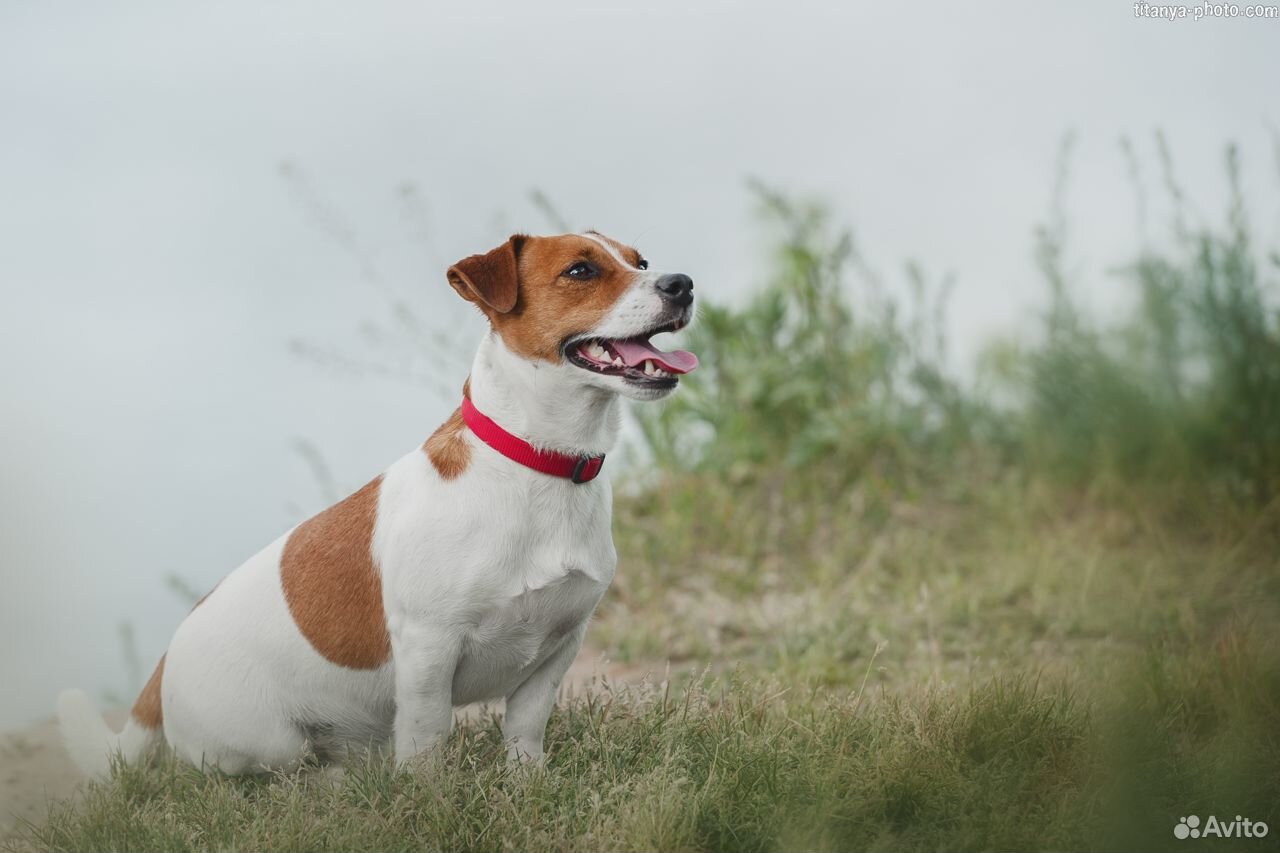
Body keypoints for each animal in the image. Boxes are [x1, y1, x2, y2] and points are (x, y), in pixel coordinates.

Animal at [57, 229, 701, 773]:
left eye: (640, 260)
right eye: (580, 270)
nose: (682, 283)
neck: (537, 461)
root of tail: (166, 660)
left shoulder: (558, 651)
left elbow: (525, 732)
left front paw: (527, 787)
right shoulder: (428, 649)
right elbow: (426, 741)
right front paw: (430, 803)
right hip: (267, 742)